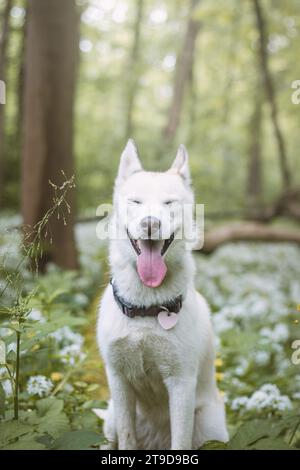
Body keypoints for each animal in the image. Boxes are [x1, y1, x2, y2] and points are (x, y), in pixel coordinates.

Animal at [97, 140, 229, 452]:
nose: (150, 224)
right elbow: (127, 439)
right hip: (110, 419)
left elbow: (180, 442)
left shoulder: (181, 383)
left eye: (169, 203)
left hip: (210, 427)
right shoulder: (118, 380)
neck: (146, 308)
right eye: (135, 202)